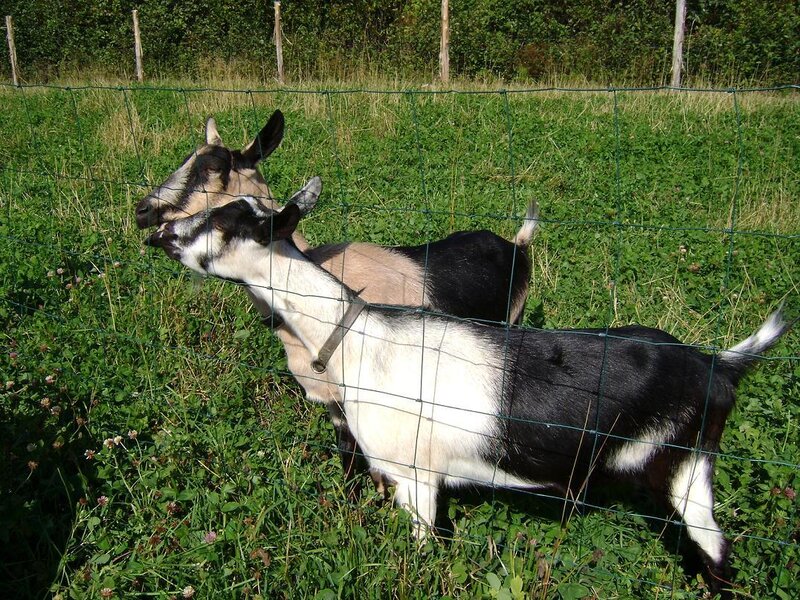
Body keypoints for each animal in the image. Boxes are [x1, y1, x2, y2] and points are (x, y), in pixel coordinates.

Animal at [145, 186, 791, 593]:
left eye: (223, 223)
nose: (162, 232)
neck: (357, 338)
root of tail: (718, 366)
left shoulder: (415, 474)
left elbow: (421, 546)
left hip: (686, 464)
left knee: (717, 549)